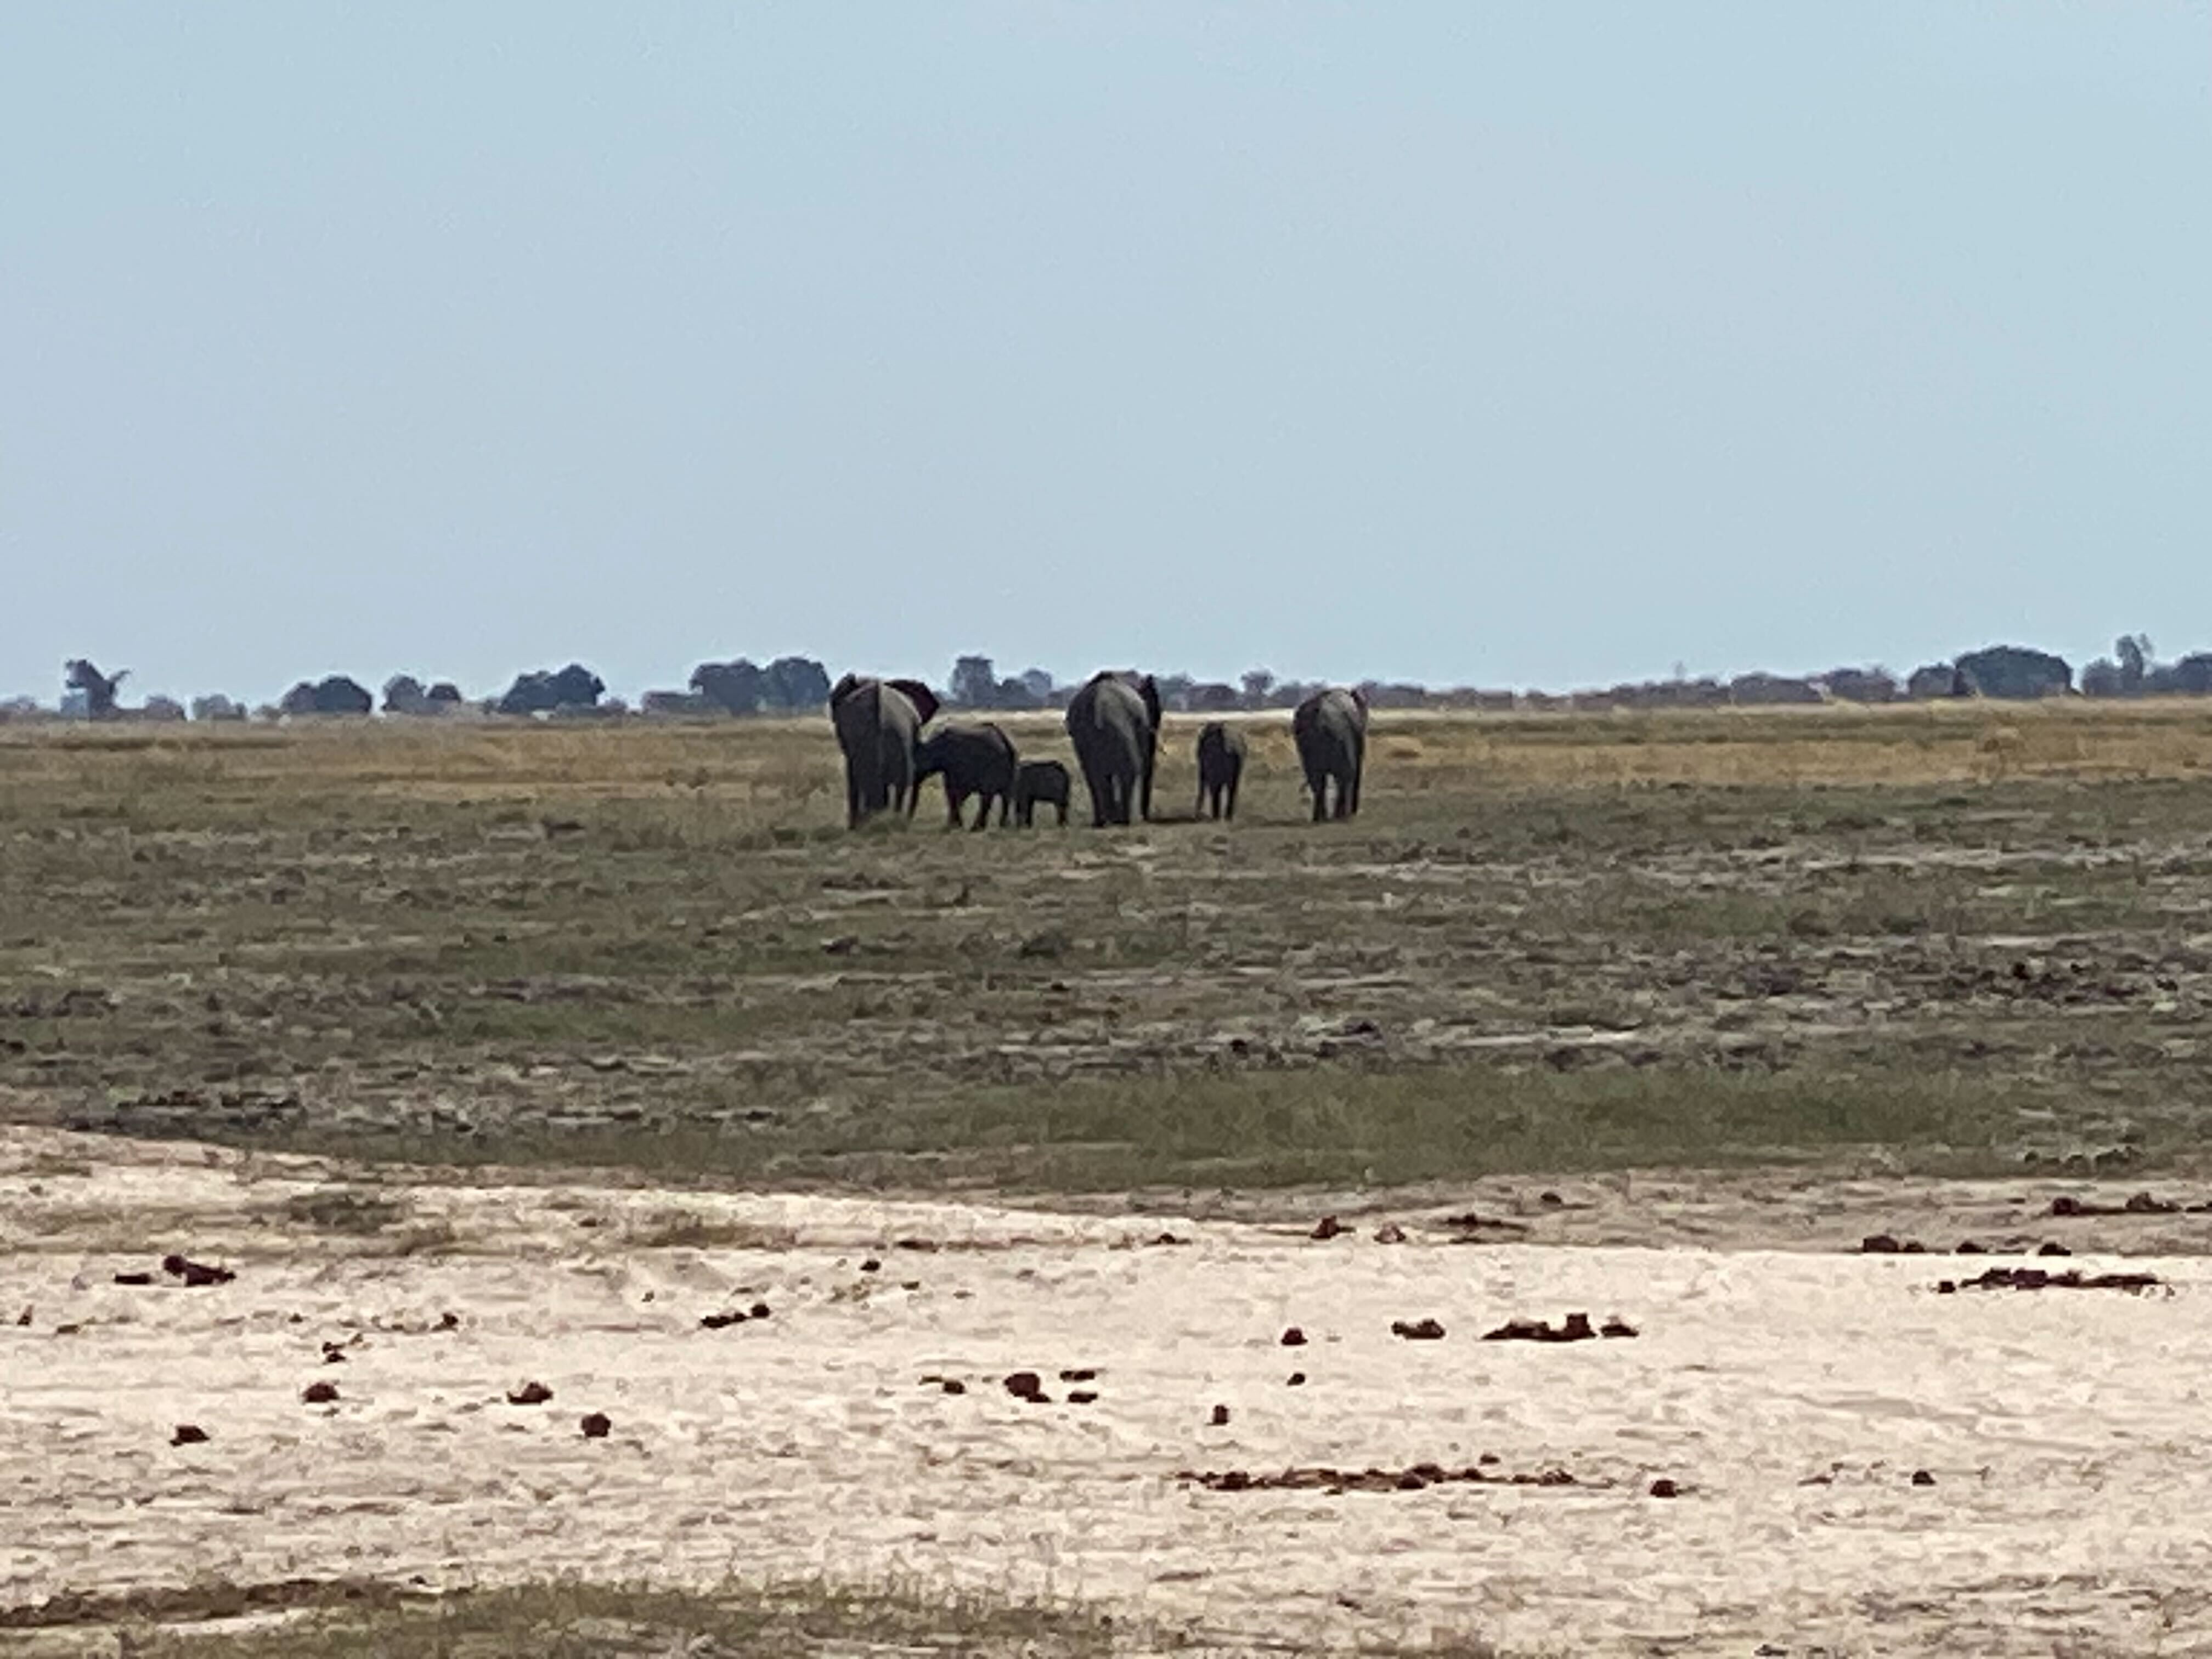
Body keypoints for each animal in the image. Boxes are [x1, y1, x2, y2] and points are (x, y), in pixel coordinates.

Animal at [915, 722, 1019, 829]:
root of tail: (1007, 743)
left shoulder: (957, 765)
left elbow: (954, 790)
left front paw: (953, 826)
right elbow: (956, 793)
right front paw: (955, 825)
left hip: (993, 766)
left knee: (988, 796)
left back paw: (976, 828)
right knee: (1006, 796)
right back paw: (1002, 825)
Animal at [1063, 670, 1161, 827]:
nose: (1145, 818)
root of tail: (1098, 704)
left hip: (1085, 735)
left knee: (1092, 776)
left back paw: (1102, 821)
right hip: (1118, 729)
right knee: (1130, 770)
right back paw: (1123, 820)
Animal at [1194, 722, 1247, 821]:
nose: (1197, 816)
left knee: (1217, 787)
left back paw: (1217, 817)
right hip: (1238, 761)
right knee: (1232, 787)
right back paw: (1227, 818)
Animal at [1292, 687, 1369, 821]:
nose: (1355, 812)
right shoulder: (1356, 732)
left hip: (1307, 743)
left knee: (1316, 780)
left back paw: (1319, 819)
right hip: (1340, 736)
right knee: (1346, 774)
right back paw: (1341, 817)